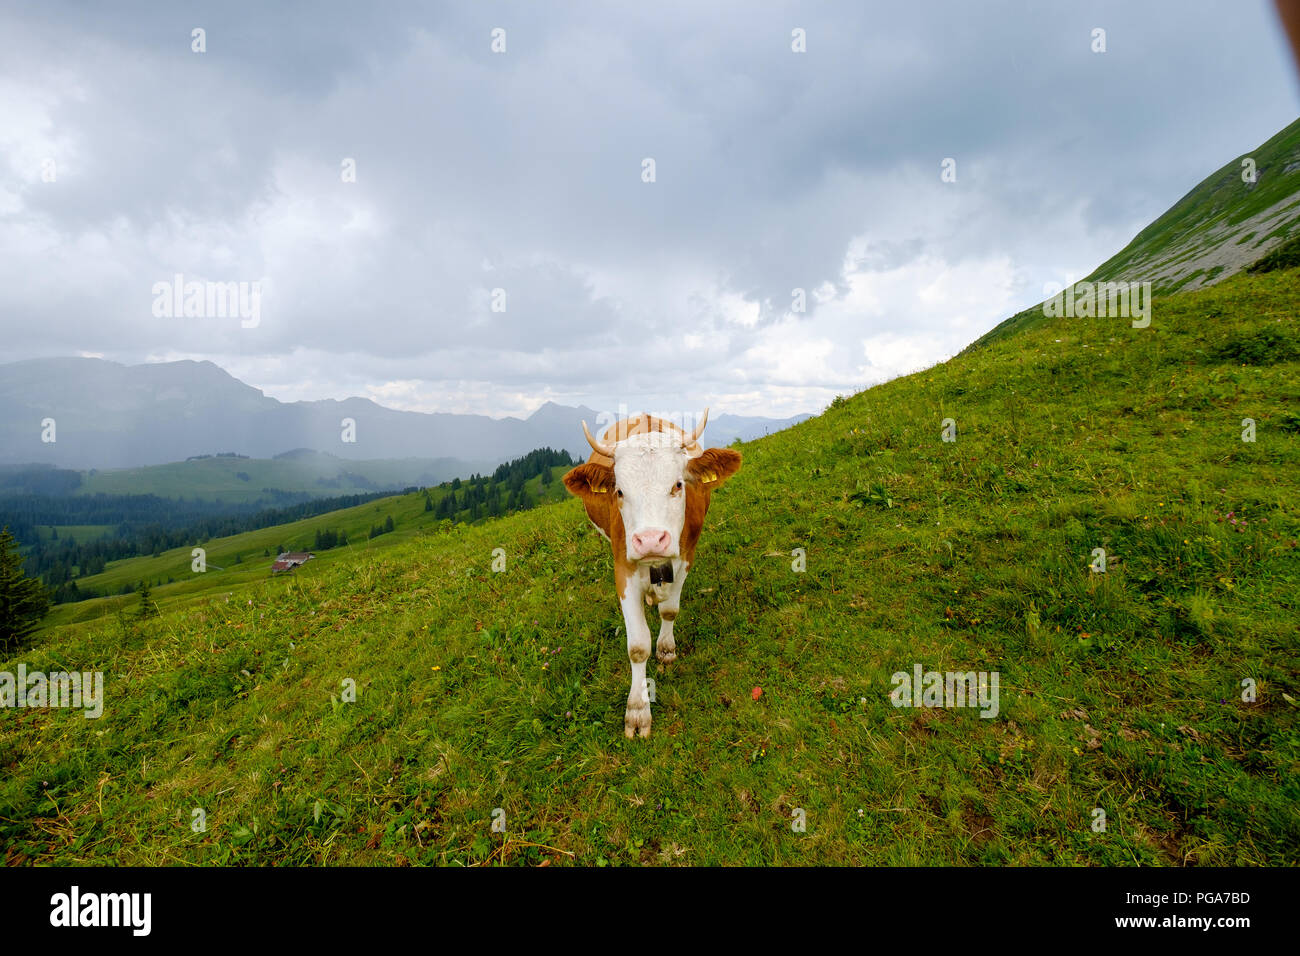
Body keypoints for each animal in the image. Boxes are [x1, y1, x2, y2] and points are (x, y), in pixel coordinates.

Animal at [563, 409, 742, 738]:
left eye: (678, 485)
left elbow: (670, 611)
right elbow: (637, 647)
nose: (649, 541)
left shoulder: (686, 555)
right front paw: (637, 710)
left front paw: (666, 649)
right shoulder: (623, 568)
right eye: (620, 491)